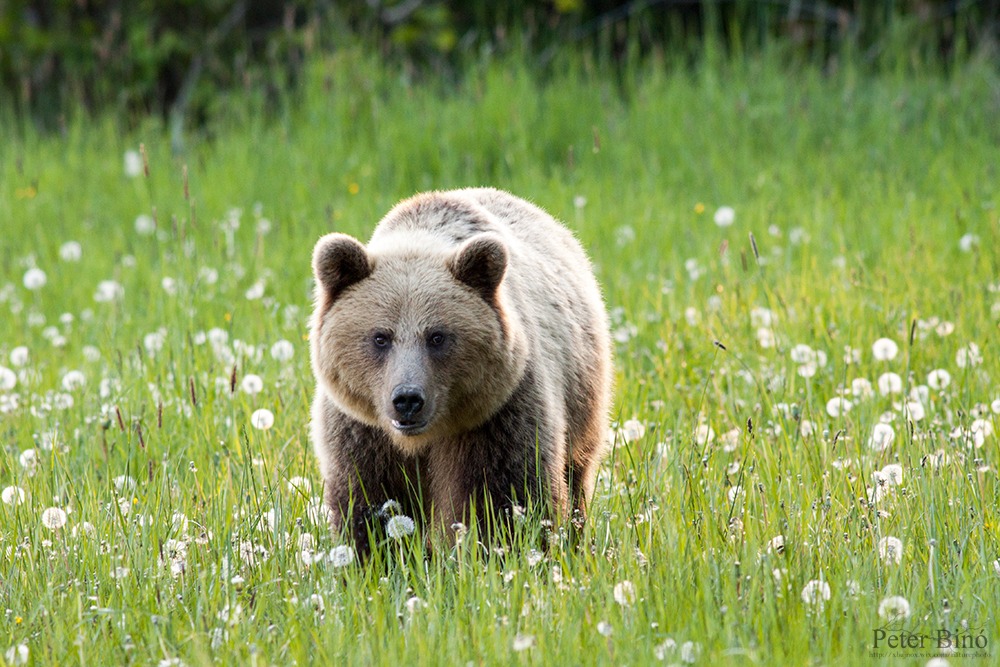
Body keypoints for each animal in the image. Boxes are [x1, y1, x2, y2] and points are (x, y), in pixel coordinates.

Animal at [309, 187, 612, 553]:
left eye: (437, 336)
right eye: (380, 337)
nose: (407, 399)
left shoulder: (499, 414)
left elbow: (504, 496)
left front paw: (501, 550)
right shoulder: (361, 428)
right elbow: (368, 500)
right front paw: (375, 554)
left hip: (582, 392)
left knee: (576, 471)